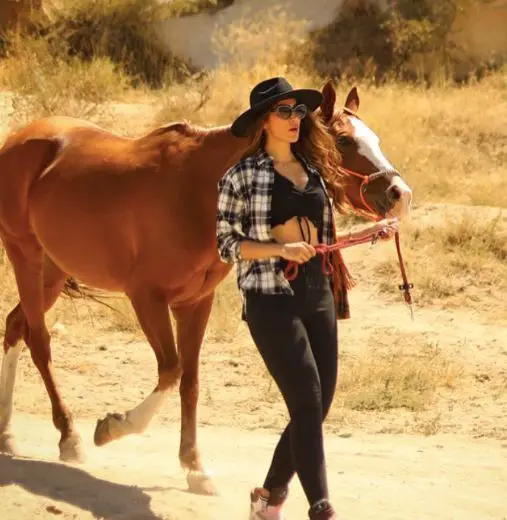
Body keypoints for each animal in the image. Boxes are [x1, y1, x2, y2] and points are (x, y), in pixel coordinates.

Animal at [0, 80, 410, 492]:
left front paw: (194, 466)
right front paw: (113, 426)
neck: (196, 191)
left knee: (15, 325)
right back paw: (68, 435)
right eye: (343, 140)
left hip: (52, 272)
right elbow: (171, 370)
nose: (400, 194)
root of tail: (16, 139)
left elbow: (190, 381)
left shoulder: (196, 302)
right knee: (39, 341)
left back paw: (7, 433)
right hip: (26, 259)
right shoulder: (147, 298)